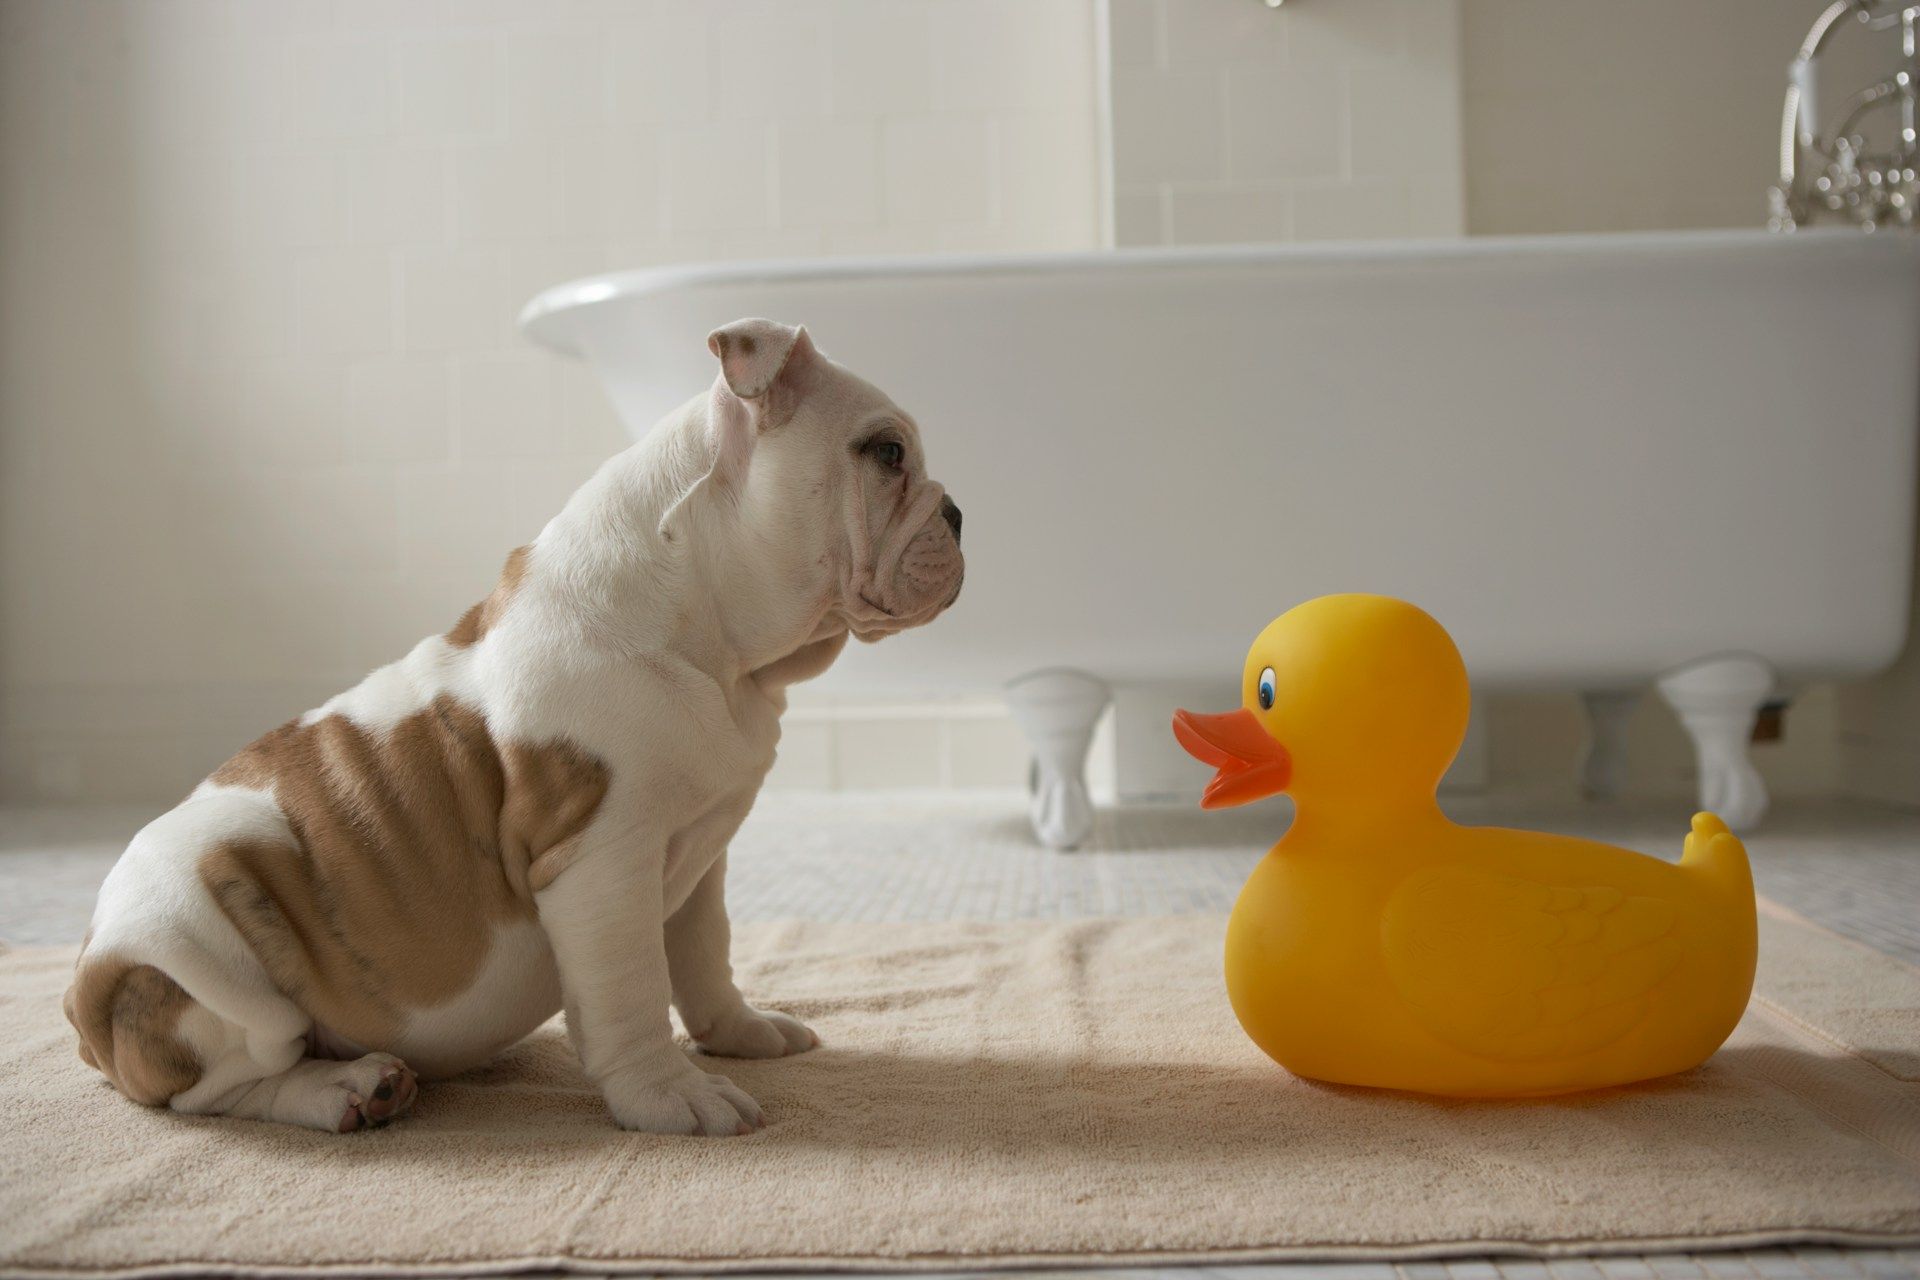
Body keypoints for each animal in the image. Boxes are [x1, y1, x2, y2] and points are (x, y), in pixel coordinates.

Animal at [61, 318, 967, 1128]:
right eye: (886, 453)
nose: (958, 513)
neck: (720, 648)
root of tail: (79, 998)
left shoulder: (699, 857)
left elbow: (705, 955)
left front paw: (742, 1034)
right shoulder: (603, 861)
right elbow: (633, 988)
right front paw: (671, 1096)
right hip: (201, 956)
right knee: (220, 1086)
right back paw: (345, 1089)